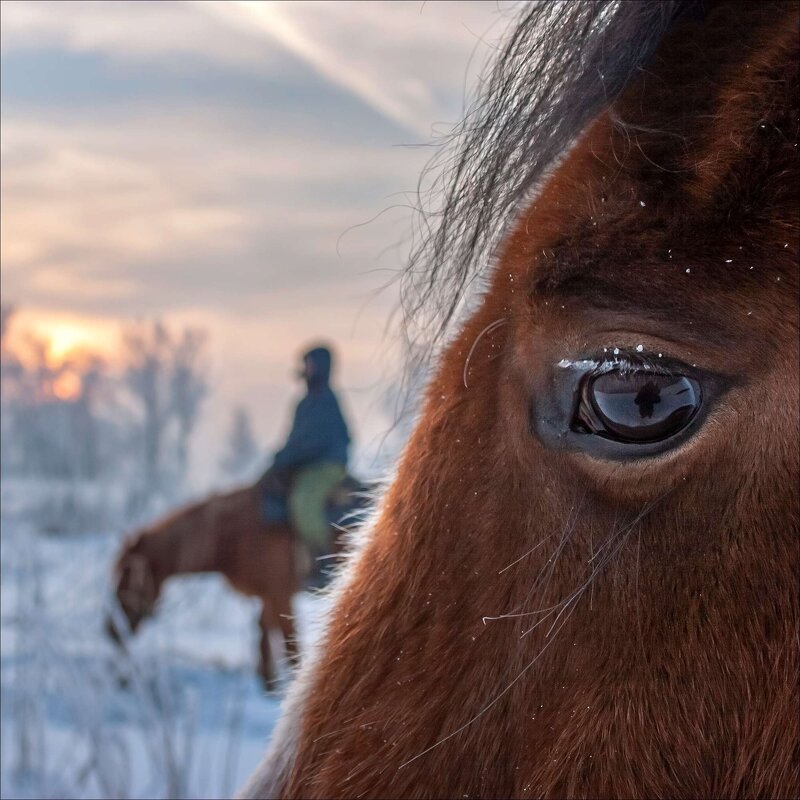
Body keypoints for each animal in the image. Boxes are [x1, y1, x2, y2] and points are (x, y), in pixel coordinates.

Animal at [105, 478, 360, 692]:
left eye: (126, 574)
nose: (111, 630)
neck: (233, 534)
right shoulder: (267, 595)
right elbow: (263, 636)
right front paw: (268, 686)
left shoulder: (279, 593)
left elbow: (289, 642)